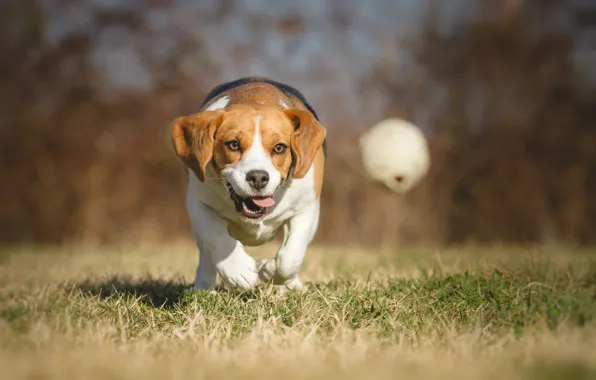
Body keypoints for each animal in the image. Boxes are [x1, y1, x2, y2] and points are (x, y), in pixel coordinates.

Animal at [172, 77, 326, 290]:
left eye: (279, 148)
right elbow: (215, 235)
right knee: (206, 253)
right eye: (233, 145)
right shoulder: (197, 204)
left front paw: (268, 269)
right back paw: (204, 287)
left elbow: (289, 259)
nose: (258, 177)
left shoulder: (306, 208)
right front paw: (238, 270)